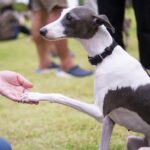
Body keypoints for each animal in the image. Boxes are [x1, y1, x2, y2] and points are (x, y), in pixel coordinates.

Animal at [21, 6, 150, 149]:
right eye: (61, 14)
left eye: (70, 18)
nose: (42, 31)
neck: (107, 56)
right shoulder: (108, 121)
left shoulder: (99, 112)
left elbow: (59, 95)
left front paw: (34, 95)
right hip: (131, 141)